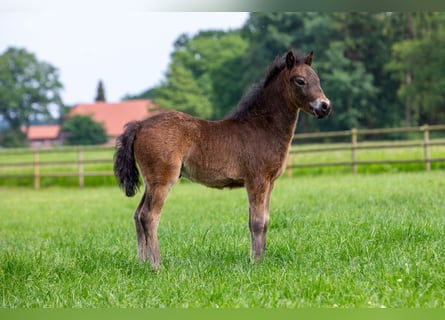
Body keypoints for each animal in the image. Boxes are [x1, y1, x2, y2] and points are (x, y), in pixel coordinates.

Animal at [113, 49, 330, 268]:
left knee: (138, 215)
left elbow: (265, 221)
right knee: (149, 216)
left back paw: (143, 263)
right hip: (162, 181)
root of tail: (140, 125)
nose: (325, 107)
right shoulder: (257, 181)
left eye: (318, 79)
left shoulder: (270, 183)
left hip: (151, 182)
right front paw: (256, 262)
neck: (262, 127)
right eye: (300, 81)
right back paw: (157, 265)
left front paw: (260, 259)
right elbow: (256, 222)